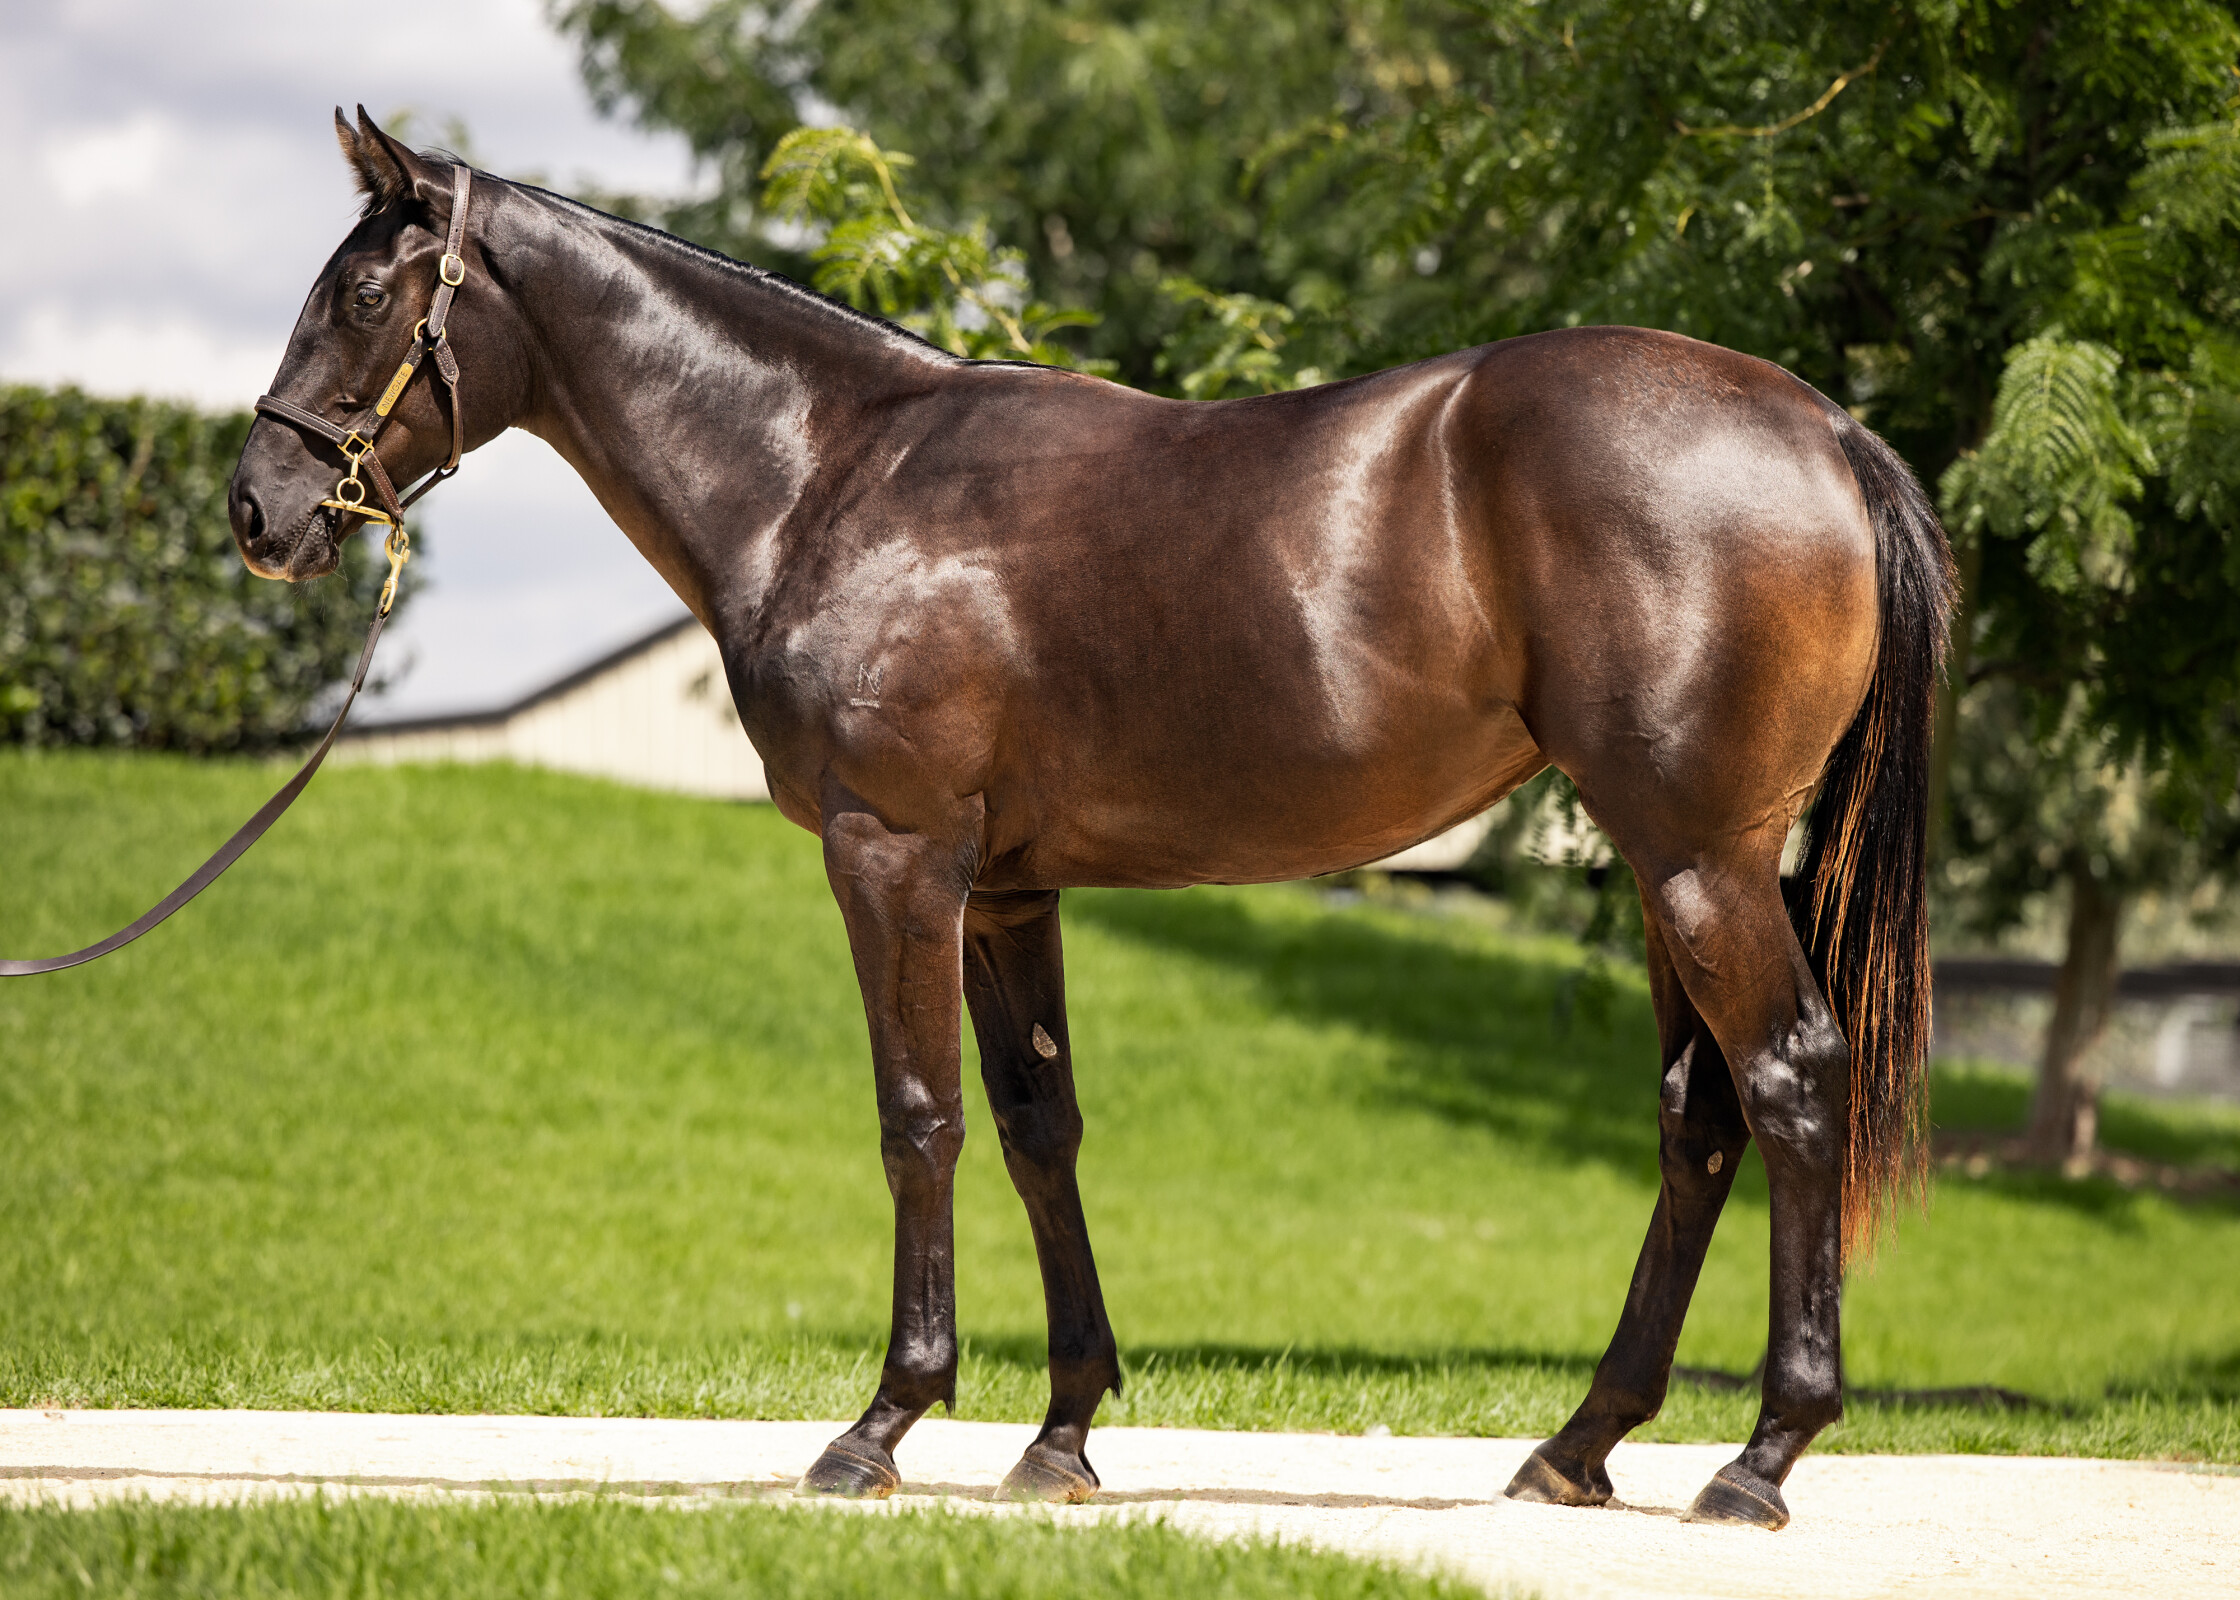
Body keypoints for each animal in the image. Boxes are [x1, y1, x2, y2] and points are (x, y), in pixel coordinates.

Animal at [218, 112, 1953, 1523]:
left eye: (361, 298)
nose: (259, 511)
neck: (832, 475)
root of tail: (1823, 431)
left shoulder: (896, 857)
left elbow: (919, 1121)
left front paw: (882, 1427)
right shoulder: (1006, 892)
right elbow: (1039, 1130)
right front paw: (1059, 1436)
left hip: (1699, 857)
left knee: (1791, 1084)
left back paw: (1760, 1459)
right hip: (1672, 864)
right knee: (1699, 1118)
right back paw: (1579, 1447)